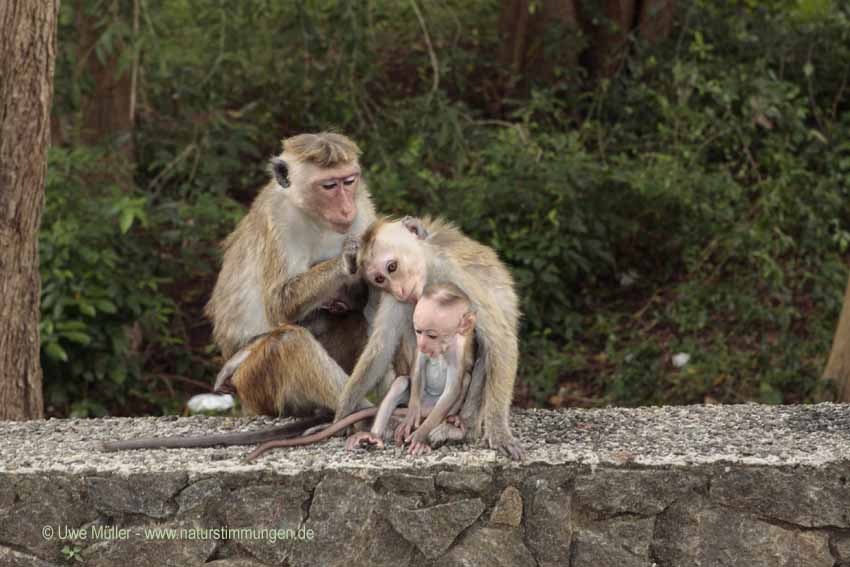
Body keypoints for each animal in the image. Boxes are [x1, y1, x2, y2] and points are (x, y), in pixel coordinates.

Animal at [342, 282, 476, 458]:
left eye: (432, 335)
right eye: (418, 331)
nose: (423, 344)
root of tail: (427, 407)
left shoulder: (457, 352)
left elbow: (452, 389)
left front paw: (420, 436)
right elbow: (417, 368)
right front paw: (411, 415)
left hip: (435, 406)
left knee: (465, 380)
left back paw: (447, 424)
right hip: (418, 397)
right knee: (401, 382)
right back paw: (374, 435)